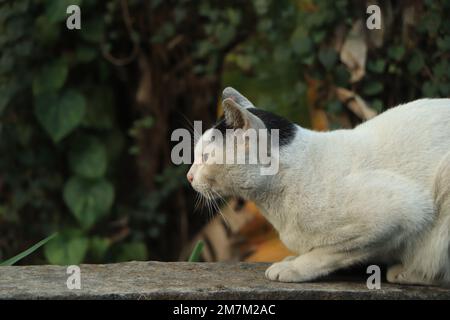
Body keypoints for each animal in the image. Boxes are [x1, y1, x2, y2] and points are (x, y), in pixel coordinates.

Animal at [187, 87, 450, 284]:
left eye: (205, 157)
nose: (189, 176)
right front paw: (291, 260)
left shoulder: (400, 214)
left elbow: (328, 253)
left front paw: (295, 267)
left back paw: (408, 272)